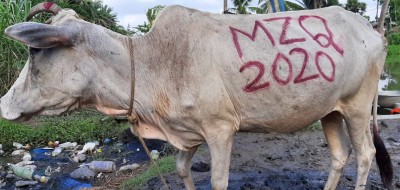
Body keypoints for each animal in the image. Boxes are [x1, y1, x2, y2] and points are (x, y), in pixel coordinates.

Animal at [0, 3, 394, 190]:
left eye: (35, 51)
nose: (4, 106)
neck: (151, 64)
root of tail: (372, 31)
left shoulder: (220, 130)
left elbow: (218, 180)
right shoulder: (186, 133)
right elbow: (179, 169)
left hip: (358, 106)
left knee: (365, 155)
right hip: (330, 110)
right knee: (340, 156)